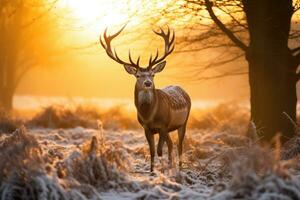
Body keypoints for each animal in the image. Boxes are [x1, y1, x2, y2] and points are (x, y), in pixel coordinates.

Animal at [99, 25, 191, 171]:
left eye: (152, 74)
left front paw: (161, 169)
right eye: (137, 75)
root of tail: (184, 91)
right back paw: (171, 166)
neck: (149, 115)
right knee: (171, 144)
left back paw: (180, 168)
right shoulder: (146, 128)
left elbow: (159, 150)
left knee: (179, 144)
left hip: (183, 122)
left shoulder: (163, 125)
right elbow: (152, 150)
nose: (148, 83)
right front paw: (152, 171)